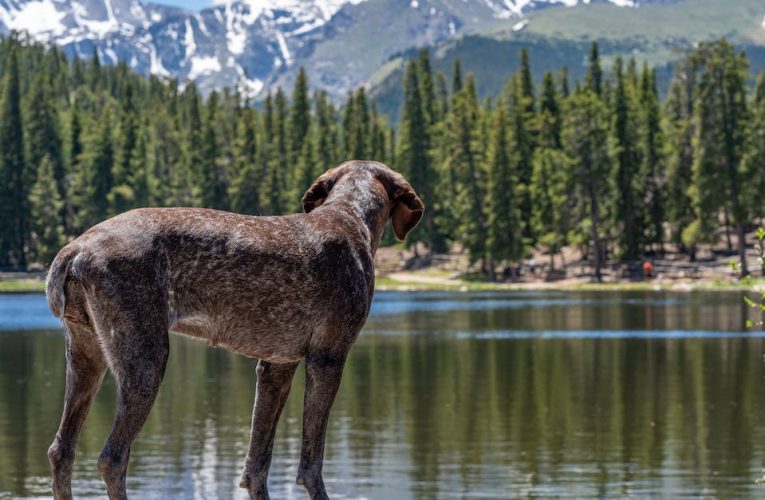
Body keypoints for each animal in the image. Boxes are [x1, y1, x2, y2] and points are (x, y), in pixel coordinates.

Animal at [44, 161, 424, 500]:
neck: (350, 215)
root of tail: (74, 250)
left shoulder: (276, 366)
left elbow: (256, 467)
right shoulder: (328, 357)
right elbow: (311, 466)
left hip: (86, 357)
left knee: (62, 450)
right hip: (145, 361)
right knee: (112, 458)